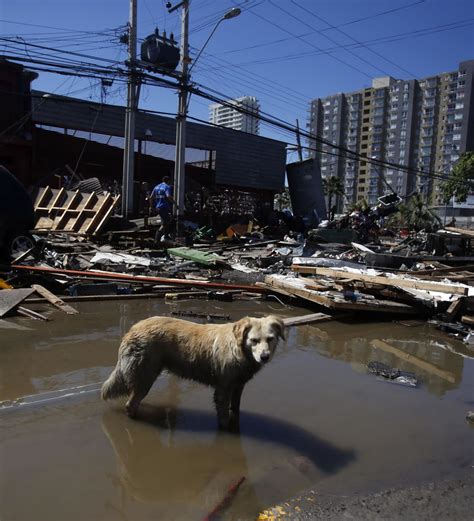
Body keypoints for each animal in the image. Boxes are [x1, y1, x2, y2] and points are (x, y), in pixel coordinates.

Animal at [101, 314, 286, 428]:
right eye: (254, 340)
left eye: (270, 339)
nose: (264, 357)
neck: (239, 349)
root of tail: (131, 329)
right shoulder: (223, 389)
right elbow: (224, 417)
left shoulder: (238, 385)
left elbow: (235, 408)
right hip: (146, 376)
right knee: (130, 404)